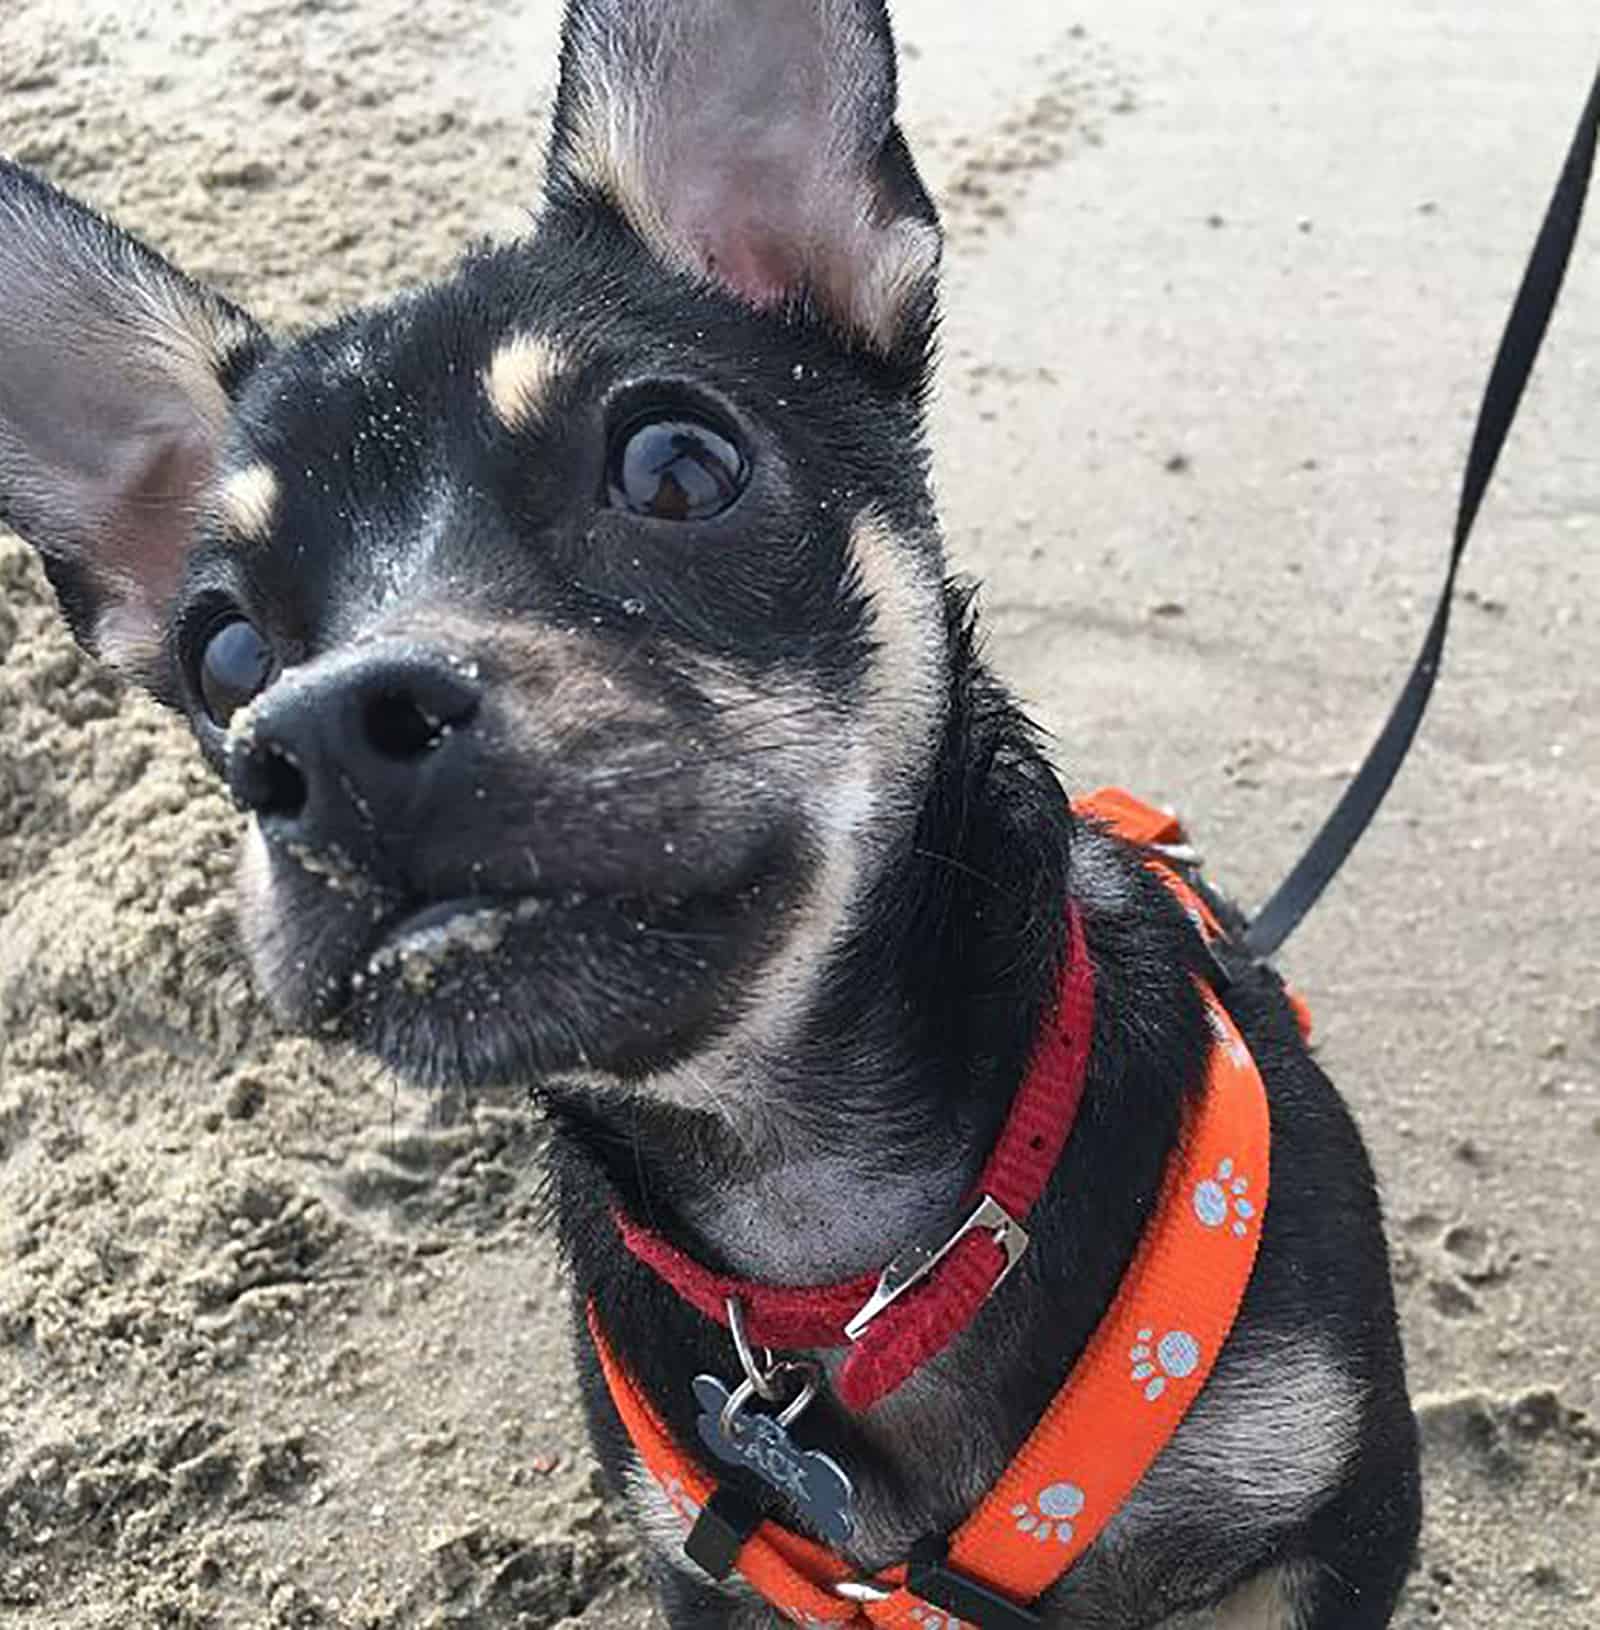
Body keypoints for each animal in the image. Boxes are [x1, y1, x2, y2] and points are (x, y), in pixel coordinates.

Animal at [0, 3, 1427, 1630]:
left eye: (678, 465)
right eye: (225, 657)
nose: (315, 734)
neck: (834, 1254)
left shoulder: (1334, 1528)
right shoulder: (712, 1570)